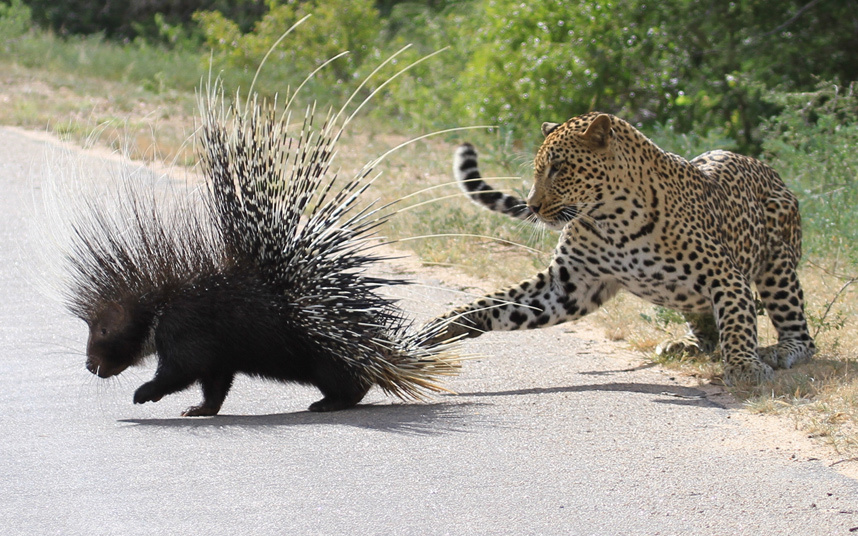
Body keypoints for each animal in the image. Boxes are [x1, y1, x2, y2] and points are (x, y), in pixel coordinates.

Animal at [428, 111, 816, 384]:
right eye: (540, 169)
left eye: (558, 168)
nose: (532, 206)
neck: (611, 219)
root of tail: (769, 170)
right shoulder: (568, 285)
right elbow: (496, 302)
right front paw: (445, 325)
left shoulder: (724, 275)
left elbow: (738, 321)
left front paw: (744, 367)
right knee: (704, 319)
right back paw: (688, 344)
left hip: (777, 262)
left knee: (800, 332)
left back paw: (782, 349)